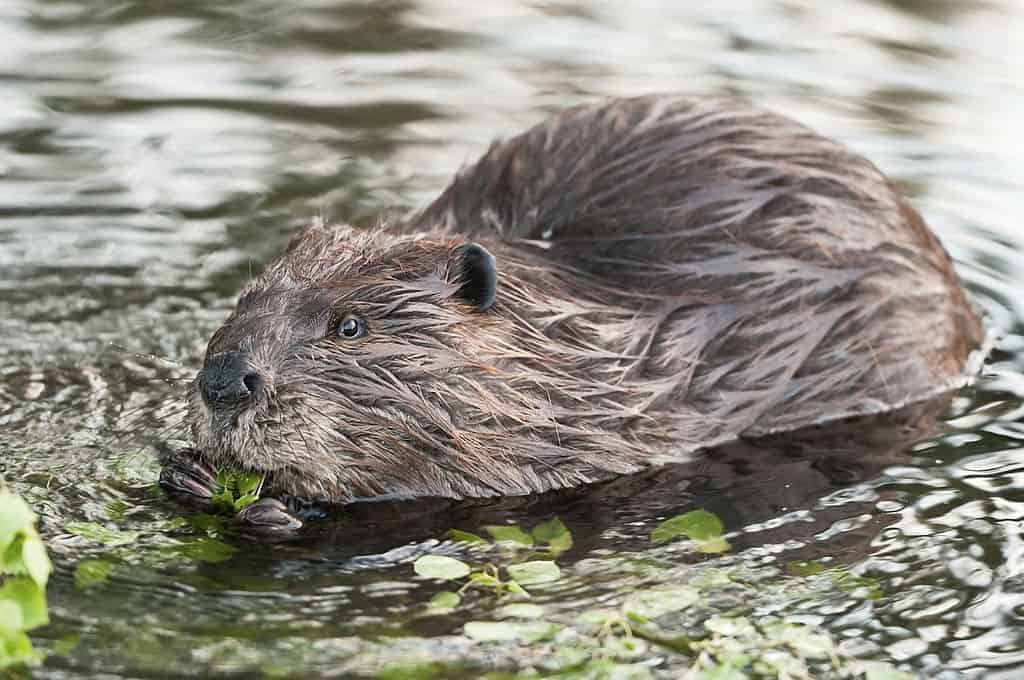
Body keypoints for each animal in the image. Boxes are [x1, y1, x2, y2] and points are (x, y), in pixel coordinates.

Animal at [157, 93, 983, 522]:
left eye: (350, 324)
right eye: (246, 297)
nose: (225, 381)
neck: (575, 336)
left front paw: (270, 506)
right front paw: (188, 472)